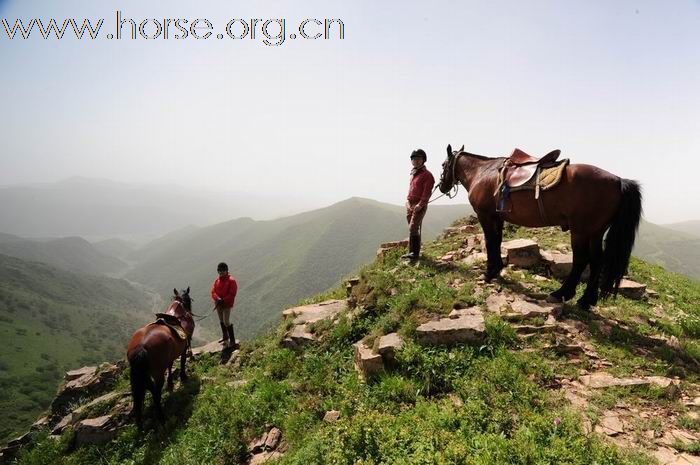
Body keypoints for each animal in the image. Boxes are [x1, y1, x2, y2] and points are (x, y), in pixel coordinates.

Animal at [127, 286, 194, 424]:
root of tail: (141, 347)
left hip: (143, 375)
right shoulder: (184, 348)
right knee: (156, 394)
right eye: (189, 300)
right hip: (157, 374)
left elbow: (170, 365)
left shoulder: (169, 357)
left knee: (144, 393)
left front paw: (170, 383)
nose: (190, 311)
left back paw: (140, 423)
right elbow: (182, 362)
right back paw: (162, 417)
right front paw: (183, 376)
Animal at [440, 143, 644, 310]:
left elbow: (490, 242)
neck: (483, 172)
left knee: (581, 260)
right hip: (595, 232)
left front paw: (489, 273)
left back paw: (561, 294)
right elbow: (497, 241)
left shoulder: (485, 215)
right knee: (596, 262)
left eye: (443, 165)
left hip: (581, 231)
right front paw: (497, 269)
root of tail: (618, 180)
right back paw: (586, 301)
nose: (442, 186)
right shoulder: (498, 217)